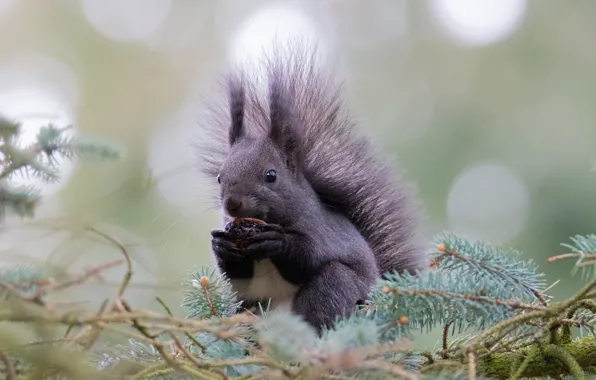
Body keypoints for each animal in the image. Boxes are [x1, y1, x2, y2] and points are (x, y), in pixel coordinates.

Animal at [197, 40, 428, 334]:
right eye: (219, 177)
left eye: (271, 175)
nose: (232, 204)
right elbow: (237, 275)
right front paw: (221, 246)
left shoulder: (320, 231)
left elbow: (308, 257)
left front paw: (278, 242)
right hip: (250, 309)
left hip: (337, 287)